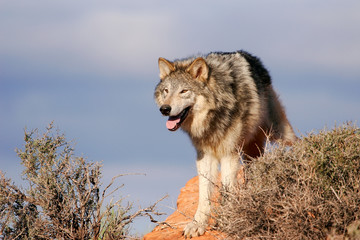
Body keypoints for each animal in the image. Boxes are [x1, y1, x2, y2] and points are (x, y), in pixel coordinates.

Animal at [153, 50, 296, 238]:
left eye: (184, 91)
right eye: (166, 91)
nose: (165, 109)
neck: (214, 114)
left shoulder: (229, 153)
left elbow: (227, 190)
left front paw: (226, 220)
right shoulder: (205, 156)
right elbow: (204, 194)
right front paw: (197, 225)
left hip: (278, 134)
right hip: (251, 152)